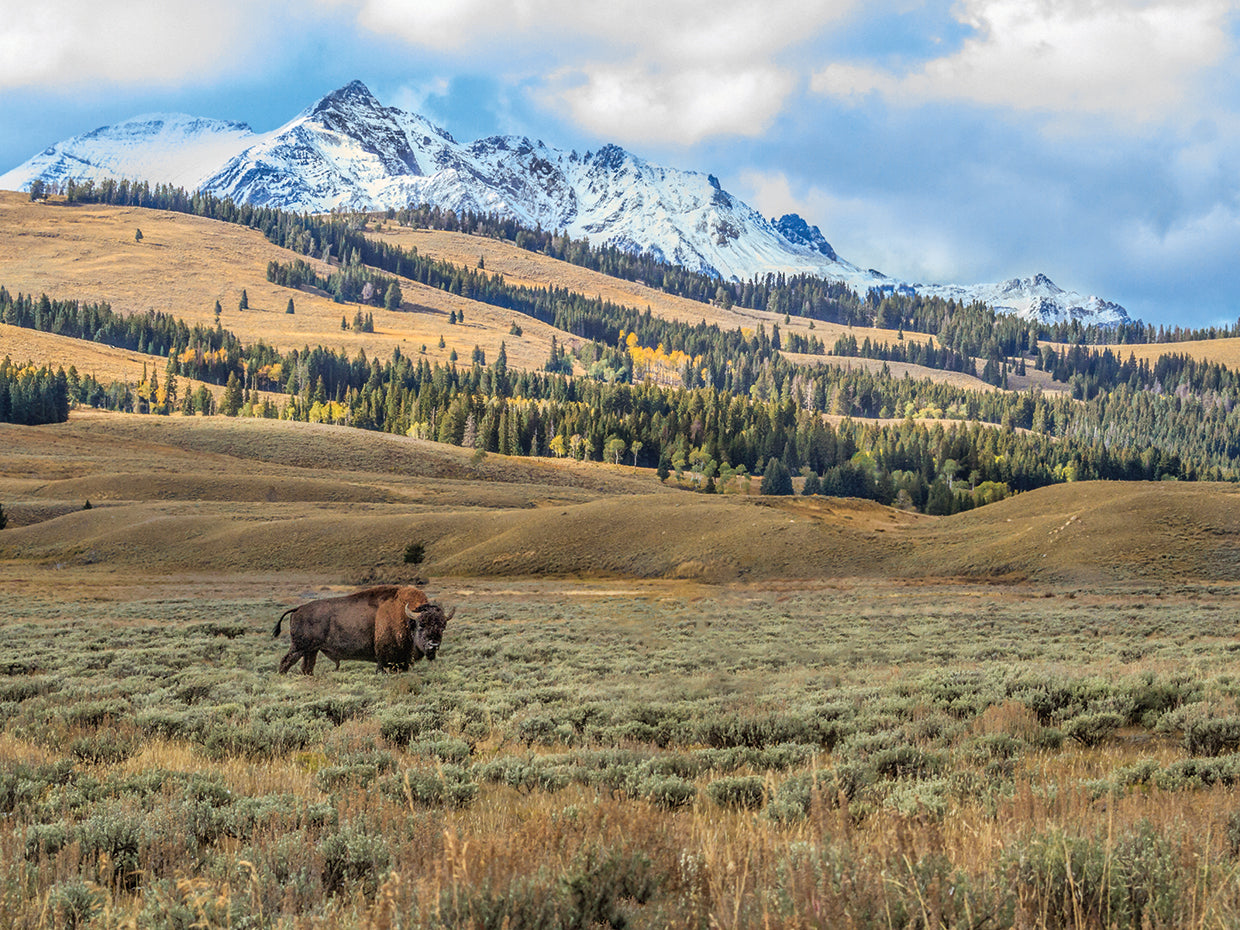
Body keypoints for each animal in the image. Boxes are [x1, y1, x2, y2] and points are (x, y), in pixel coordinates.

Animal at [273, 585, 454, 675]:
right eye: (421, 624)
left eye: (443, 627)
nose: (433, 645)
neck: (407, 618)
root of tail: (298, 609)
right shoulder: (386, 660)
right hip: (299, 648)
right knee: (285, 662)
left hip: (311, 650)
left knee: (307, 668)